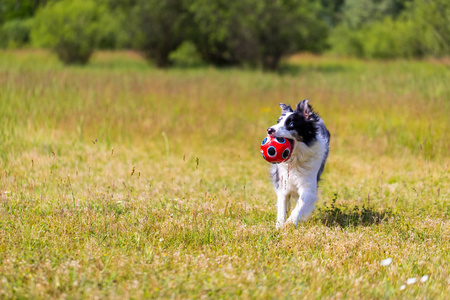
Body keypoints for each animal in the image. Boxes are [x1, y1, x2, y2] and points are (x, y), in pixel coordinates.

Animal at [268, 99, 330, 227]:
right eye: (278, 122)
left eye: (291, 124)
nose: (269, 130)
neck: (294, 160)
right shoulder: (283, 183)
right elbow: (282, 206)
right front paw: (280, 225)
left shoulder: (308, 187)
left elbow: (300, 205)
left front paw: (290, 223)